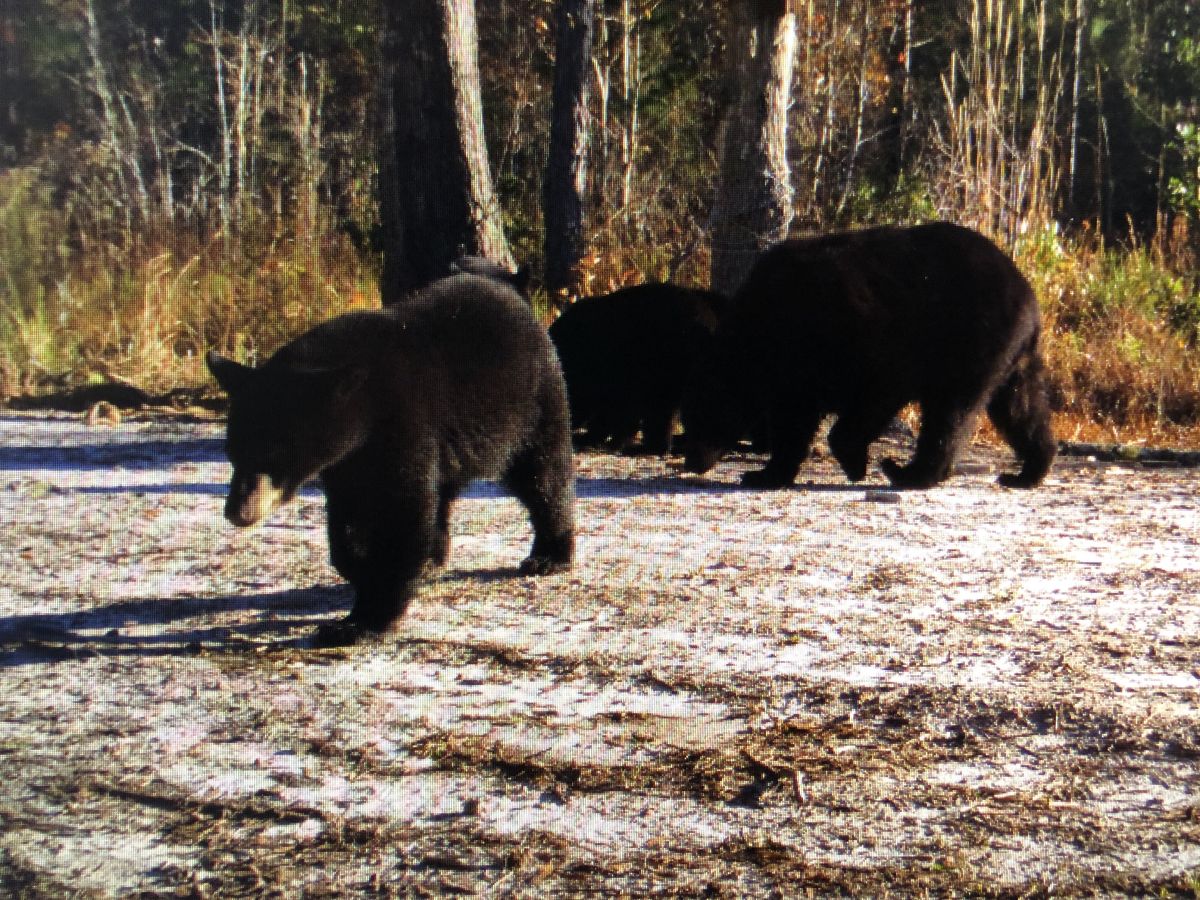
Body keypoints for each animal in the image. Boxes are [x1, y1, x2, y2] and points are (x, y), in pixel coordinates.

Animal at [207, 274, 576, 648]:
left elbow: (401, 512)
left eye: (275, 454)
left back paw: (550, 554)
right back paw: (432, 559)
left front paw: (362, 621)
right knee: (444, 493)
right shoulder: (347, 461)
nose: (237, 512)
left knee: (541, 475)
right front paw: (358, 570)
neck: (364, 407)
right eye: (232, 453)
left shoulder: (404, 423)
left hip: (531, 405)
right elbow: (349, 517)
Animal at [681, 225, 1056, 494]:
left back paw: (908, 472)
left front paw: (853, 459)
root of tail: (1025, 290)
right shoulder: (796, 376)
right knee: (1021, 408)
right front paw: (764, 473)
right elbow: (793, 423)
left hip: (970, 341)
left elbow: (874, 395)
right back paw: (1027, 471)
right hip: (1012, 356)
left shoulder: (863, 344)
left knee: (950, 413)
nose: (691, 460)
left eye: (703, 414)